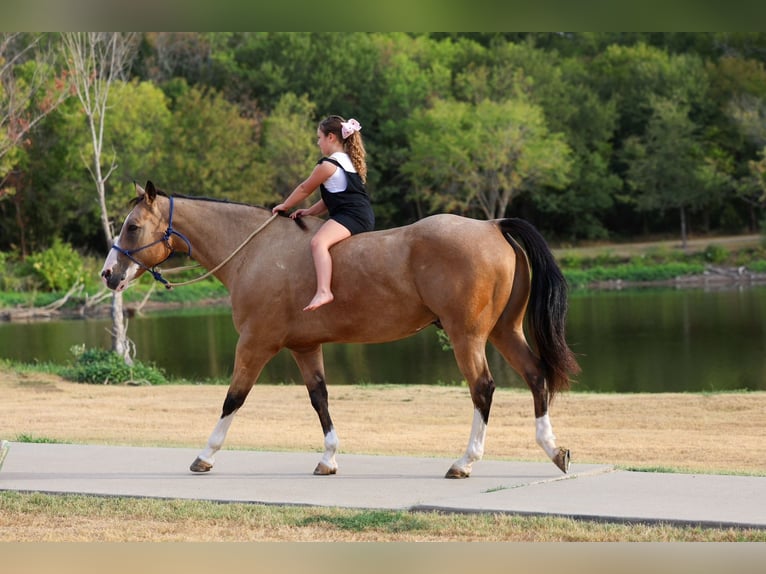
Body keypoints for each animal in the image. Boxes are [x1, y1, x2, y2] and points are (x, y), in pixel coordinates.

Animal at [101, 181, 580, 478]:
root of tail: (491, 224)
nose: (108, 274)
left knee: (483, 388)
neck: (255, 250)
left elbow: (233, 398)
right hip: (504, 331)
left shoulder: (255, 344)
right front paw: (329, 458)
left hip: (468, 337)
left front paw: (205, 455)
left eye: (132, 226)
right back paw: (552, 449)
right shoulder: (305, 347)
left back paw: (466, 461)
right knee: (535, 374)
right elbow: (320, 399)